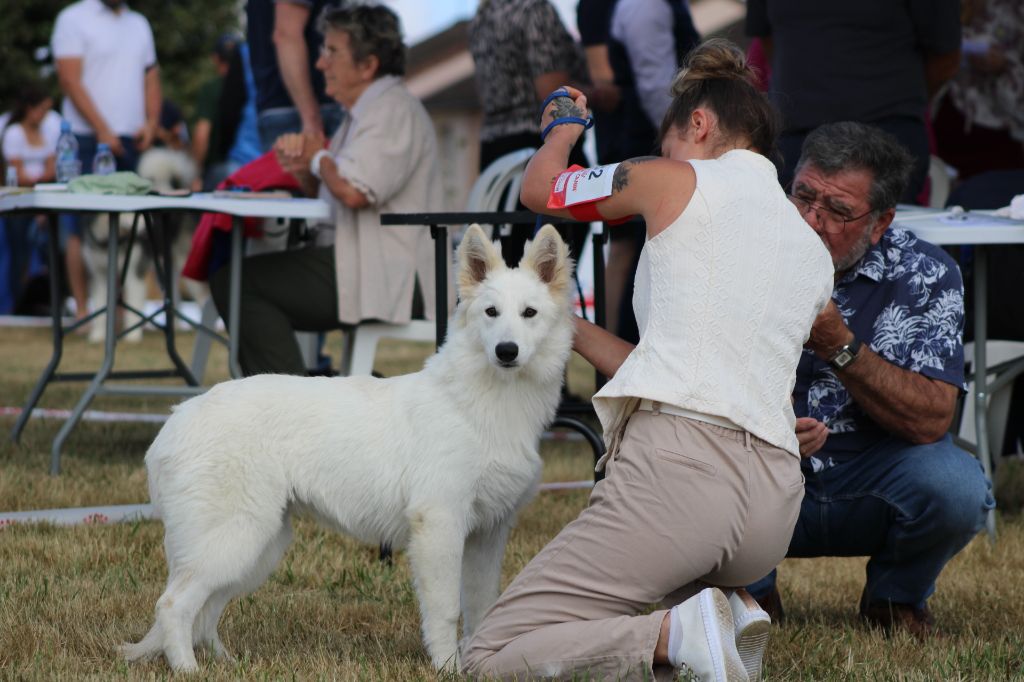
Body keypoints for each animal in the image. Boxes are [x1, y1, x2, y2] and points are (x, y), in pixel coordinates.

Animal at [119, 223, 577, 667]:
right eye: (491, 312)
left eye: (529, 313)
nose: (506, 351)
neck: (479, 400)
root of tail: (177, 418)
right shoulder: (440, 526)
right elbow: (447, 610)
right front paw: (448, 667)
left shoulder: (488, 534)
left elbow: (483, 608)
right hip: (235, 539)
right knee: (174, 605)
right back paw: (187, 669)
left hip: (257, 546)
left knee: (206, 612)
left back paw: (226, 664)